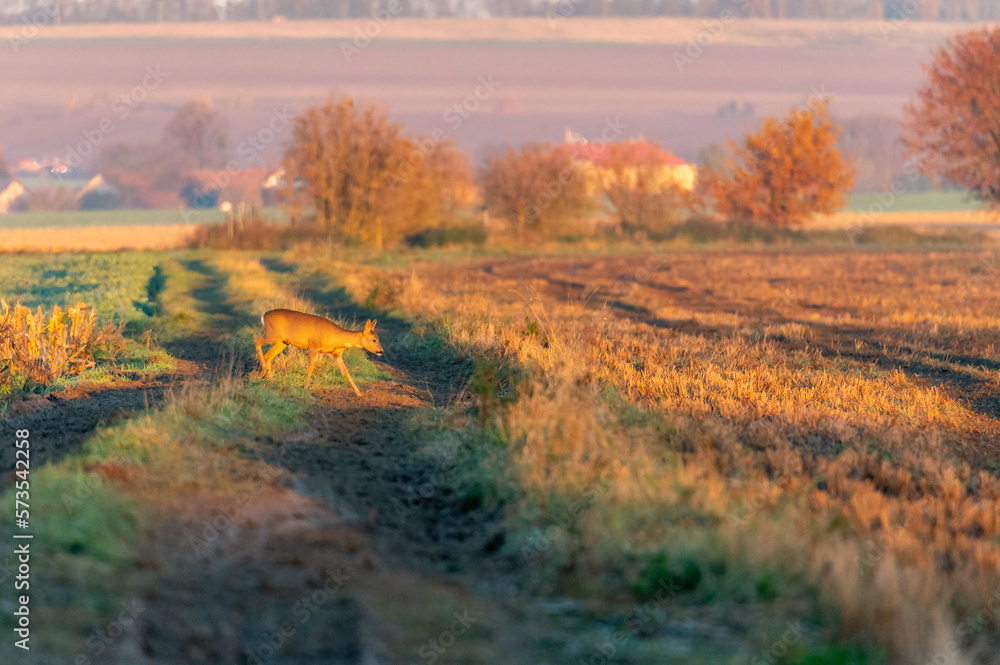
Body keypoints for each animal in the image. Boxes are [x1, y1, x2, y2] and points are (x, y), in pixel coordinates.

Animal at [254, 309, 383, 396]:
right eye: (374, 339)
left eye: (378, 338)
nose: (381, 351)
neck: (335, 337)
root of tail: (264, 315)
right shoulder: (313, 347)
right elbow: (310, 368)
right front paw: (306, 388)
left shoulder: (336, 354)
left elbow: (346, 372)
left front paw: (359, 393)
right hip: (272, 335)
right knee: (257, 340)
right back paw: (263, 374)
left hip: (282, 341)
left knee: (268, 355)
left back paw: (270, 379)